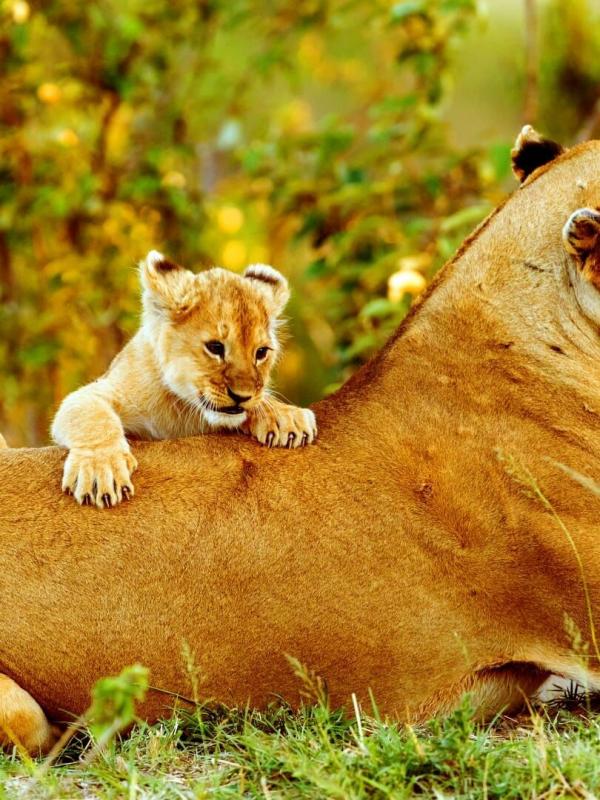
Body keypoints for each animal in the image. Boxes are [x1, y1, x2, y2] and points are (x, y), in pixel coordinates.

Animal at [50, 252, 317, 508]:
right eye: (215, 347)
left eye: (261, 353)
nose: (242, 396)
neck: (181, 408)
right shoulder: (100, 391)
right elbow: (91, 417)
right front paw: (100, 470)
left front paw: (286, 416)